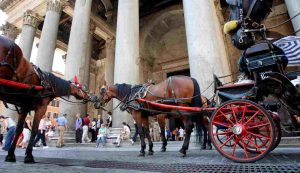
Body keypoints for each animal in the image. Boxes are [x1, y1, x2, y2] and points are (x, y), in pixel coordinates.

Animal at [0, 35, 94, 163]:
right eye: (81, 89)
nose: (89, 97)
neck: (49, 83)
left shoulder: (24, 107)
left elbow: (19, 129)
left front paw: (10, 155)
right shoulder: (41, 107)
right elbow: (34, 130)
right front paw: (28, 156)